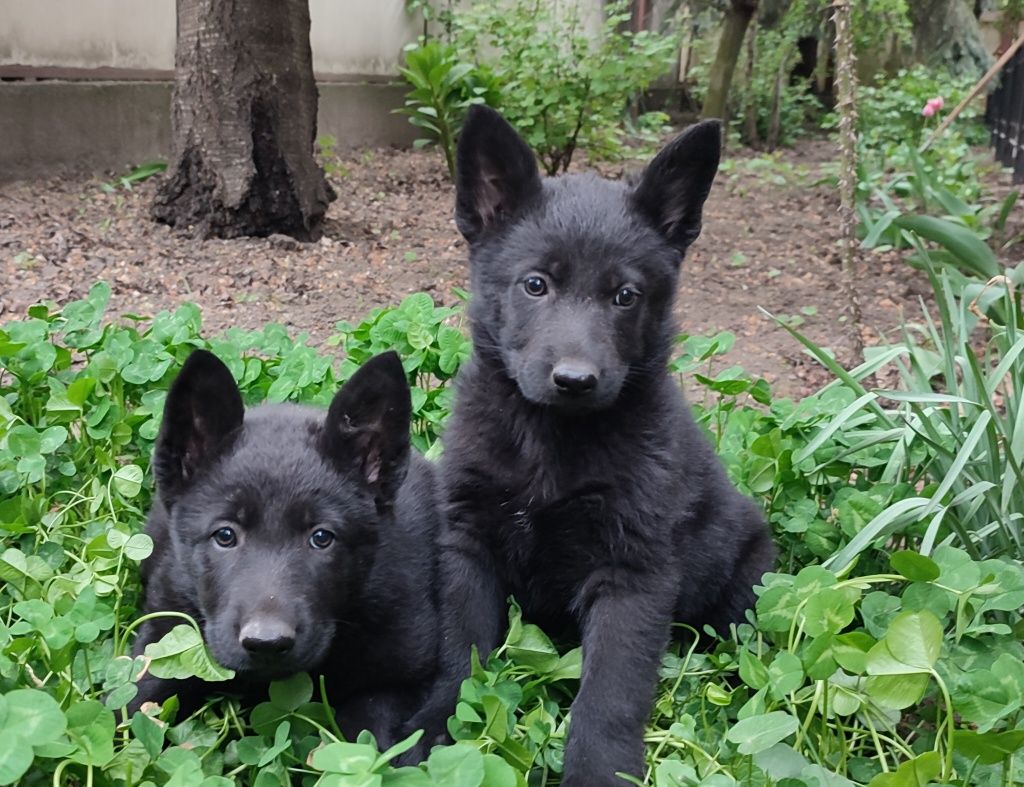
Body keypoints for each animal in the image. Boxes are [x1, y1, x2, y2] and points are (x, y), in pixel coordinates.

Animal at [129, 350, 440, 749]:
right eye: (225, 535)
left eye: (321, 537)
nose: (266, 643)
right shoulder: (164, 633)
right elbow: (132, 704)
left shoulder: (399, 674)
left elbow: (365, 736)